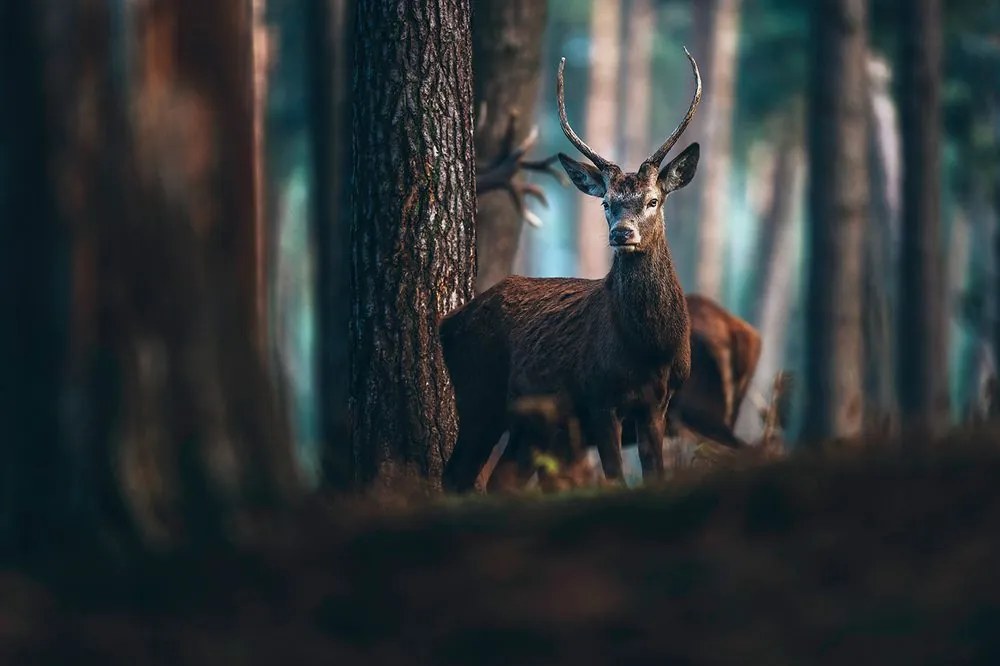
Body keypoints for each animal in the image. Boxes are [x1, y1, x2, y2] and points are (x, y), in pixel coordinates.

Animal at [438, 46, 704, 490]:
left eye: (653, 200)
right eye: (606, 203)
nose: (621, 233)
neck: (648, 348)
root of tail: (447, 322)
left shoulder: (658, 404)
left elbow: (655, 474)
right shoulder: (598, 398)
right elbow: (614, 478)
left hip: (531, 424)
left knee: (500, 479)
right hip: (479, 395)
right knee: (457, 473)